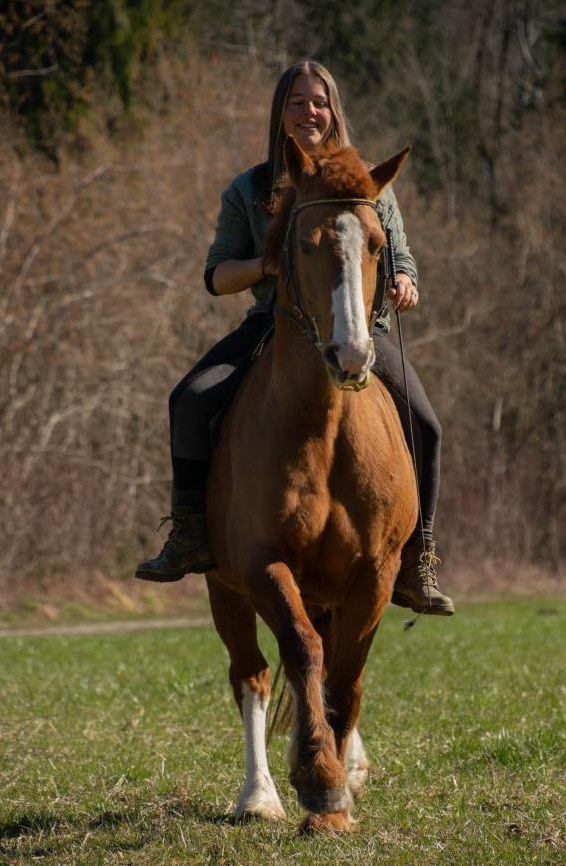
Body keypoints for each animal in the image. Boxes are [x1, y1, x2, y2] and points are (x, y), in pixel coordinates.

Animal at [205, 136, 418, 833]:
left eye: (376, 243)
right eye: (306, 243)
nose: (349, 357)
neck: (324, 431)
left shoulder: (376, 570)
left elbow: (345, 674)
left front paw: (336, 792)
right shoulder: (262, 564)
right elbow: (301, 654)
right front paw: (319, 785)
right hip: (224, 588)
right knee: (253, 675)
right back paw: (259, 796)